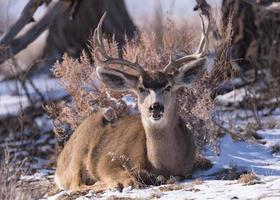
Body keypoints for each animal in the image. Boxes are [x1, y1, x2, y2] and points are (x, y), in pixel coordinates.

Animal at [55, 12, 211, 192]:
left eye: (168, 86)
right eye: (141, 88)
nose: (155, 107)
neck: (161, 165)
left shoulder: (186, 168)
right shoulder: (108, 161)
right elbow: (129, 179)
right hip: (76, 157)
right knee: (76, 184)